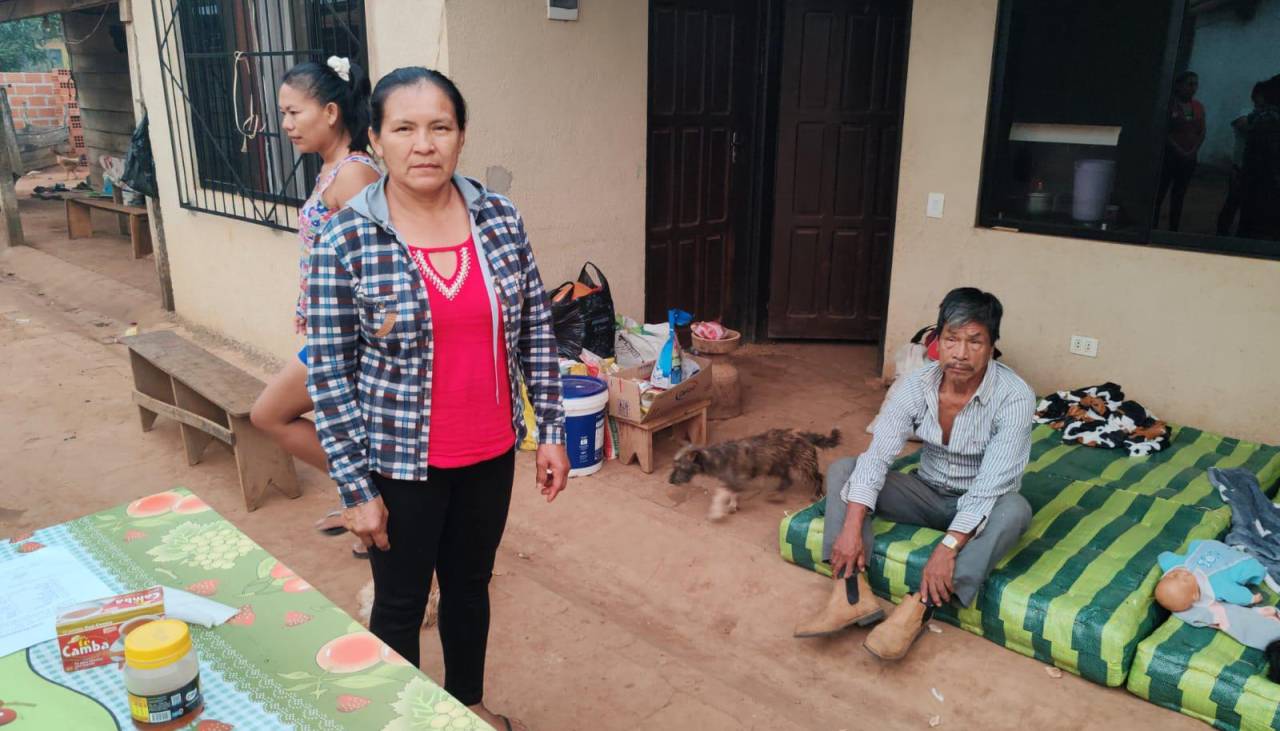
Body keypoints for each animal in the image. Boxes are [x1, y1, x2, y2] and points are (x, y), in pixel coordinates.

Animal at [670, 425, 839, 522]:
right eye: (674, 465)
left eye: (681, 467)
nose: (670, 481)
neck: (716, 456)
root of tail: (803, 434)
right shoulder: (732, 481)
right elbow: (731, 493)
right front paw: (732, 505)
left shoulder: (738, 481)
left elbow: (721, 493)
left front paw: (716, 512)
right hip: (777, 465)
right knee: (787, 480)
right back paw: (776, 495)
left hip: (803, 465)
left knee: (818, 477)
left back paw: (817, 493)